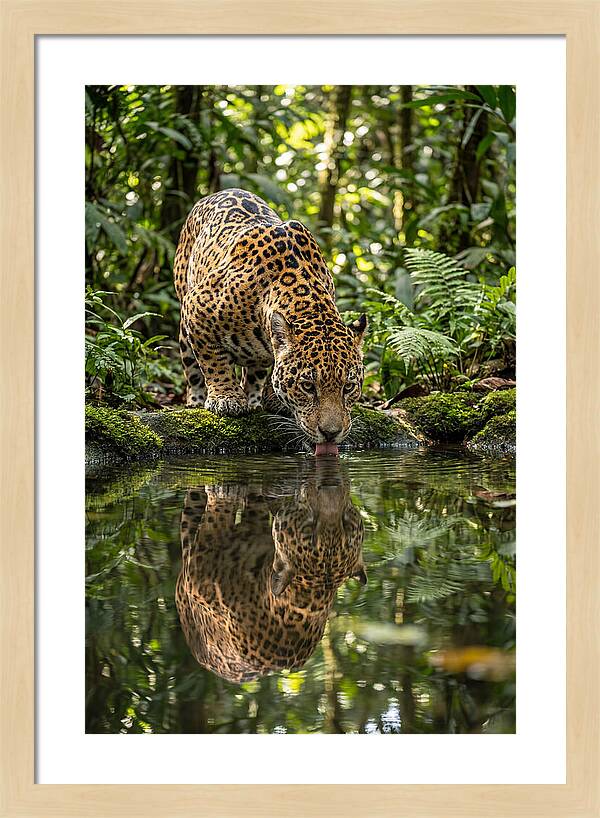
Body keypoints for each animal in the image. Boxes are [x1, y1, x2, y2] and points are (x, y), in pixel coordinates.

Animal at [173, 188, 367, 455]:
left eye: (348, 387)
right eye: (308, 386)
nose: (331, 433)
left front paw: (273, 399)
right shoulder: (196, 307)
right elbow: (214, 361)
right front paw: (226, 398)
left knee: (254, 371)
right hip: (184, 317)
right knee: (192, 368)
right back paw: (196, 401)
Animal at [175, 463, 366, 683]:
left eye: (347, 524)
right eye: (309, 529)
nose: (331, 485)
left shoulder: (199, 570)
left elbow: (219, 515)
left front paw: (224, 491)